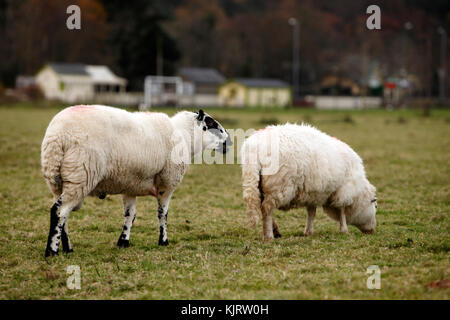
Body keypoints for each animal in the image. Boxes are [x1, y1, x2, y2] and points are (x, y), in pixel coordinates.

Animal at [41, 105, 230, 258]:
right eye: (212, 124)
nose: (229, 141)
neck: (184, 135)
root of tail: (57, 136)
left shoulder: (130, 186)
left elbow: (130, 215)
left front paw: (123, 241)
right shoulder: (167, 184)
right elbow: (163, 214)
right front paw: (163, 241)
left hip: (58, 182)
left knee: (63, 214)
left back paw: (67, 248)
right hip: (80, 175)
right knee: (59, 212)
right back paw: (52, 251)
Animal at [241, 124, 378, 241]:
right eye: (375, 206)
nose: (372, 231)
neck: (358, 194)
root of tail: (255, 148)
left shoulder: (313, 193)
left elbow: (311, 212)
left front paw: (309, 232)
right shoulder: (343, 190)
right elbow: (342, 211)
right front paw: (344, 230)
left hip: (258, 183)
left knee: (261, 206)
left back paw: (275, 231)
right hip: (278, 185)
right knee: (267, 208)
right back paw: (269, 236)